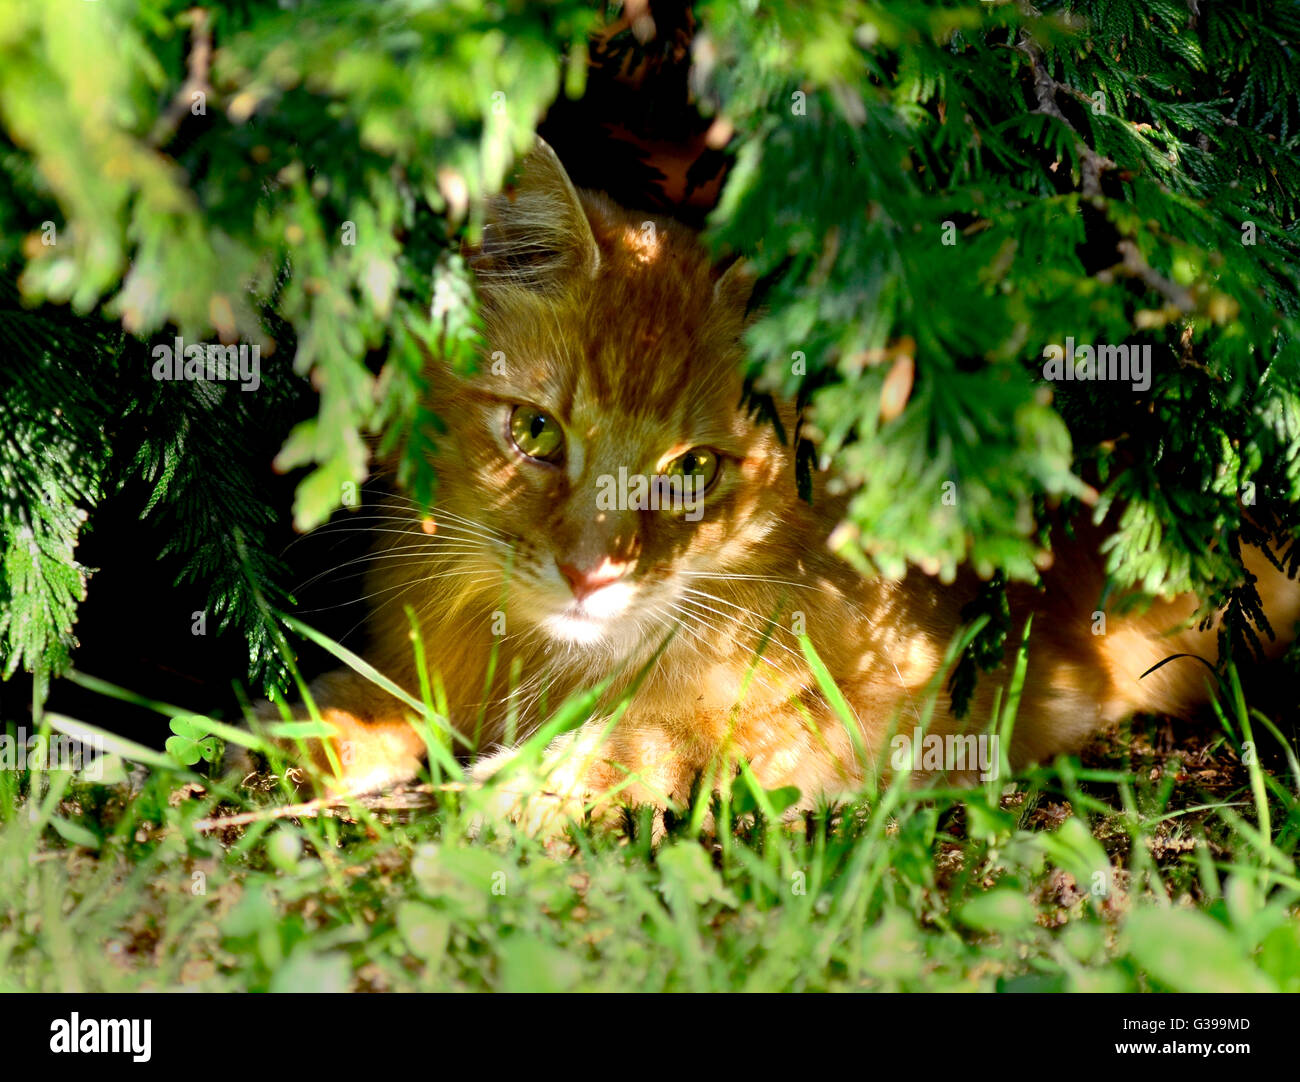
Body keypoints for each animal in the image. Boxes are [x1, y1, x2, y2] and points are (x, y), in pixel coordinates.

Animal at [244, 139, 1300, 832]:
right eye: (537, 432)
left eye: (695, 472)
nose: (590, 574)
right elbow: (387, 690)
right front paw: (319, 723)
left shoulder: (901, 708)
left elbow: (654, 736)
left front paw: (523, 785)